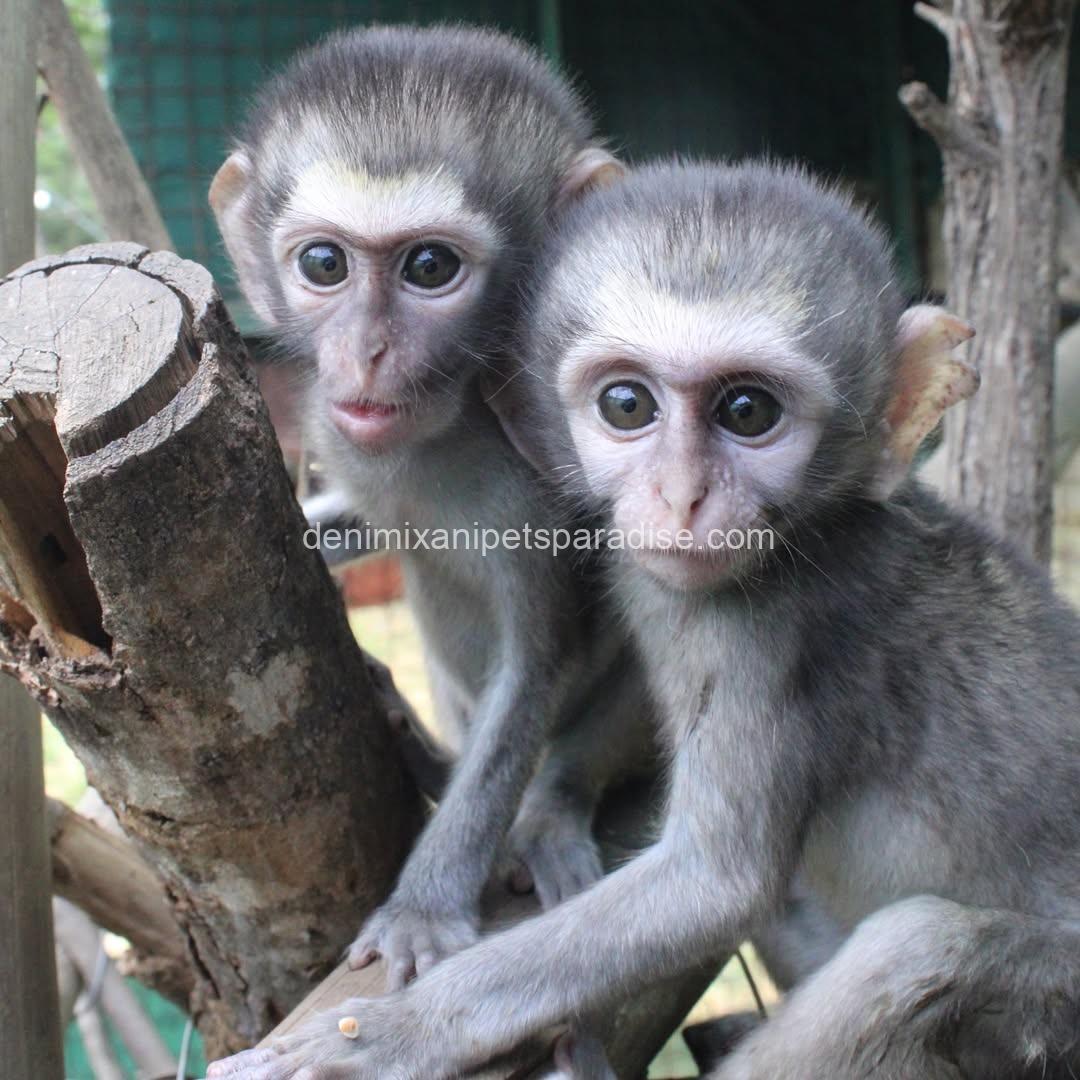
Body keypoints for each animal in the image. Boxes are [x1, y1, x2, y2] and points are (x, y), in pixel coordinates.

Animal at [207, 160, 1080, 1080]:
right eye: (627, 405)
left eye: (748, 412)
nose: (682, 496)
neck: (813, 533)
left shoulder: (767, 639)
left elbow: (713, 884)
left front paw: (396, 1033)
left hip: (1052, 1004)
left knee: (917, 947)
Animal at [208, 23, 660, 998]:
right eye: (325, 264)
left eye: (429, 268)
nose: (367, 352)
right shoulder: (341, 435)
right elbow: (365, 522)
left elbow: (539, 661)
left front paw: (423, 909)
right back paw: (427, 753)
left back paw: (551, 804)